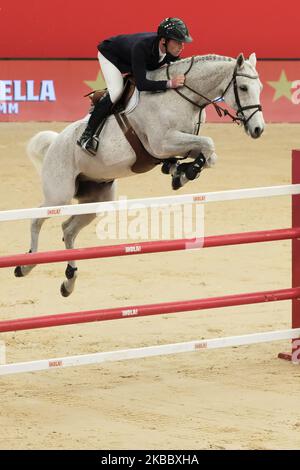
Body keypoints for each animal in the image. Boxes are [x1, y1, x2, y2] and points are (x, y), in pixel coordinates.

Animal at [15, 51, 264, 294]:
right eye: (243, 88)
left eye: (260, 88)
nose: (258, 129)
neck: (182, 97)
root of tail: (55, 142)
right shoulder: (162, 144)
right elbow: (208, 144)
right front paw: (185, 171)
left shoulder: (181, 143)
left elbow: (208, 154)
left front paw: (182, 173)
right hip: (59, 195)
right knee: (37, 220)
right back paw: (25, 265)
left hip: (96, 200)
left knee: (68, 229)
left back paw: (69, 280)